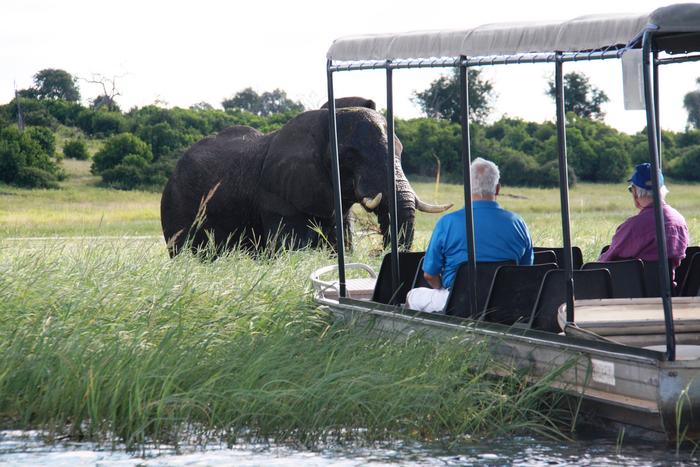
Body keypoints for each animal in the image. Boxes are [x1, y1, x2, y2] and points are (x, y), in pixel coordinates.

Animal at [160, 101, 451, 256]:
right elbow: (291, 248)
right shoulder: (276, 195)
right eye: (349, 157)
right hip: (176, 206)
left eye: (401, 152)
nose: (379, 253)